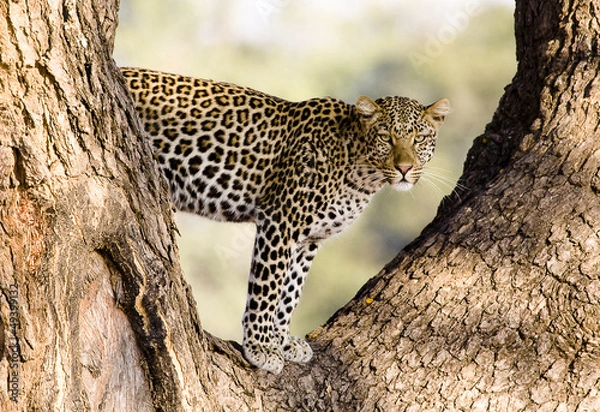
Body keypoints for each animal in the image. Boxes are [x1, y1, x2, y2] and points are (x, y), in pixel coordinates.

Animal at [120, 67, 450, 374]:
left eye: (419, 139)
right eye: (386, 138)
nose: (405, 168)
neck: (361, 172)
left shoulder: (309, 239)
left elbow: (290, 290)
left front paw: (282, 340)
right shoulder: (280, 221)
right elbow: (268, 287)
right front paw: (261, 346)